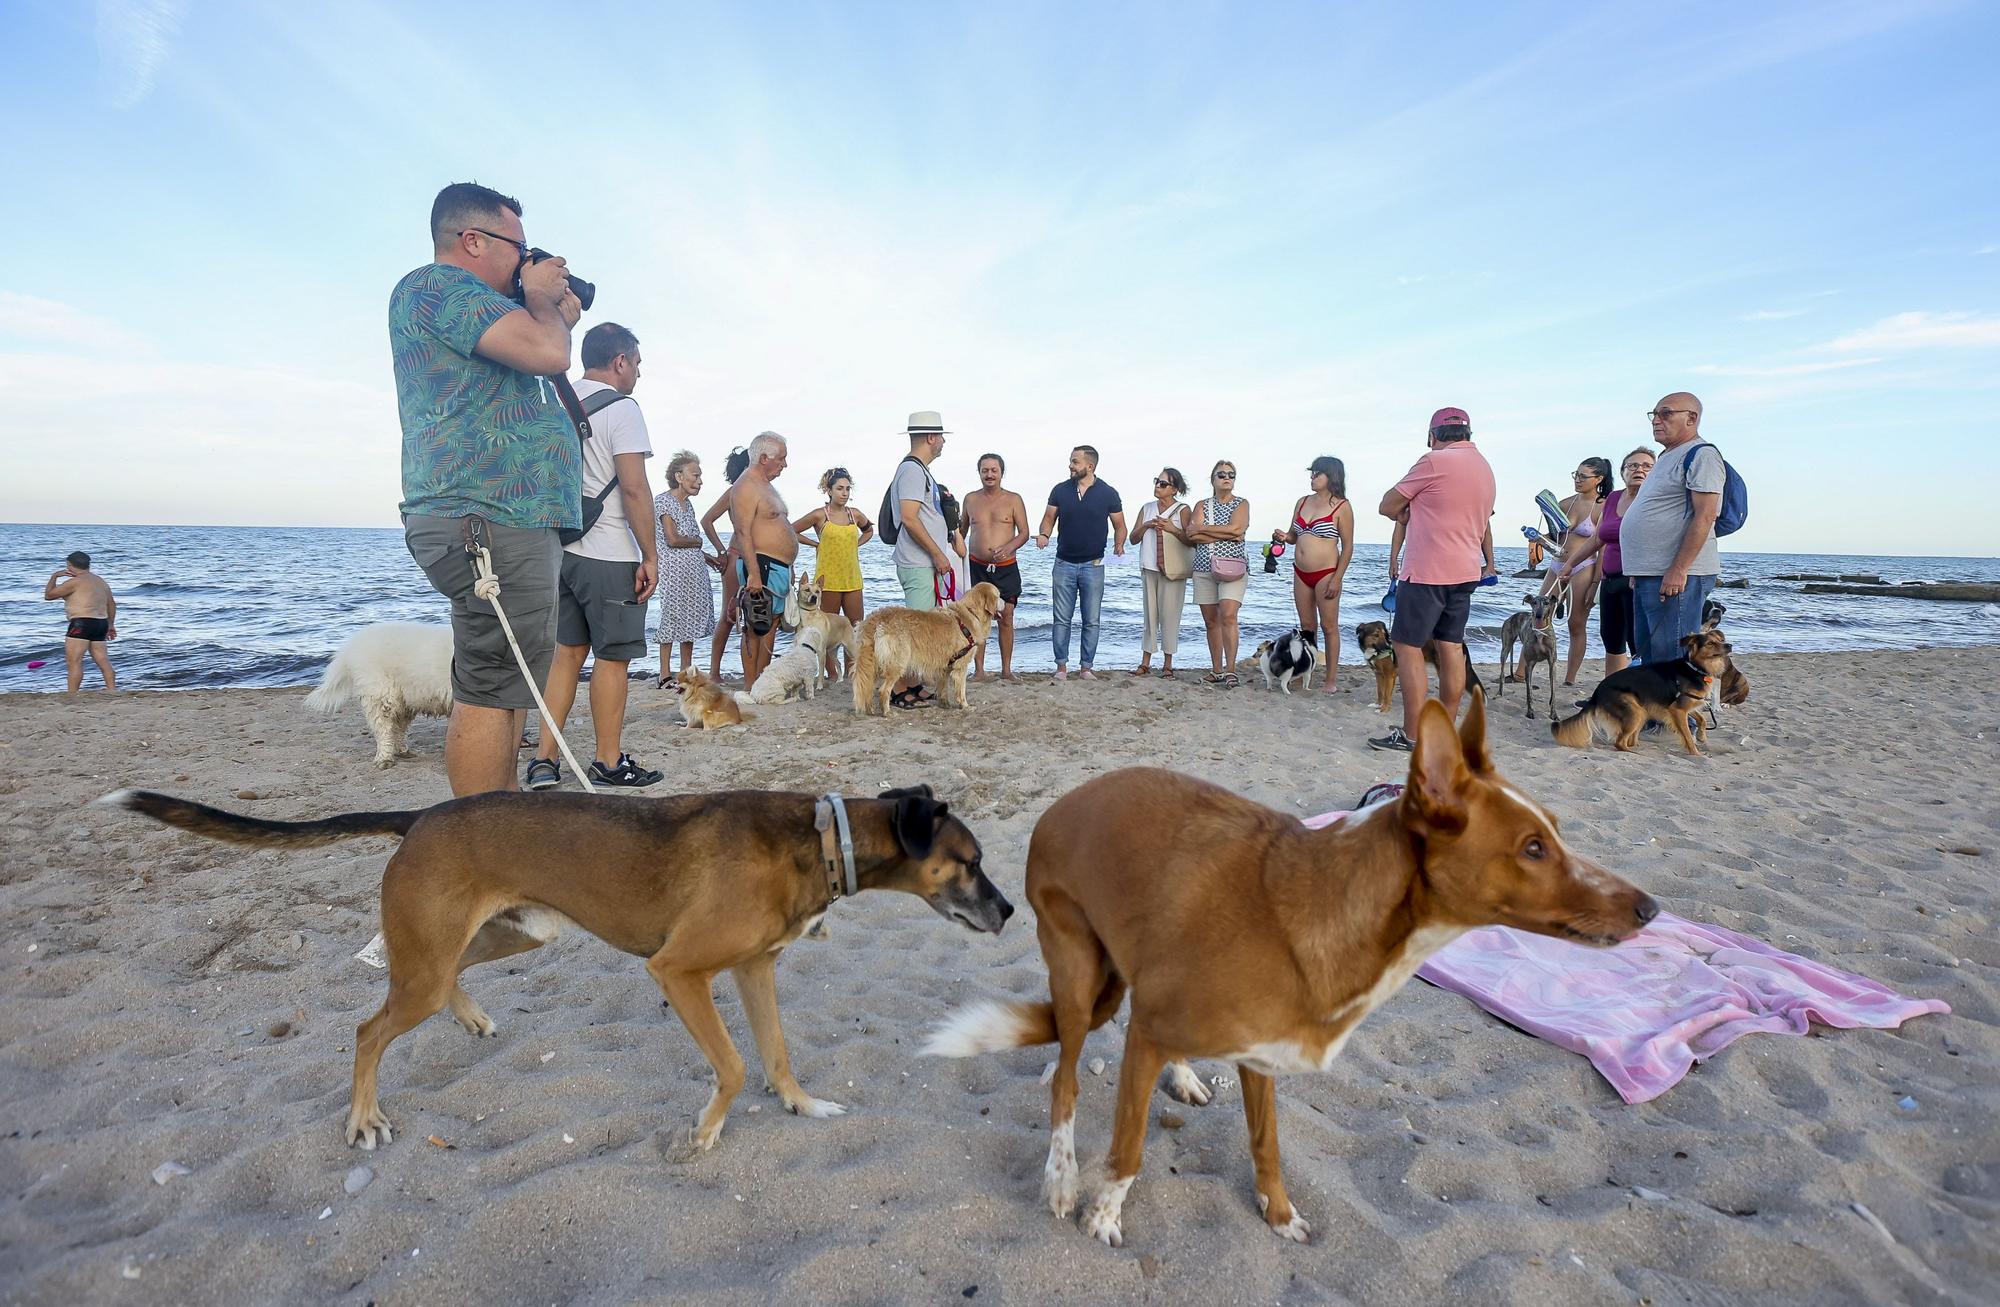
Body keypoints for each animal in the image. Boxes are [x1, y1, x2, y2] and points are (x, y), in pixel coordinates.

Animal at [304, 623, 454, 767]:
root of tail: (351, 647)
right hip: (381, 696)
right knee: (383, 730)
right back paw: (385, 759)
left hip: (403, 701)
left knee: (398, 727)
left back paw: (403, 751)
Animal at [852, 587, 1008, 715]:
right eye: (998, 595)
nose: (1006, 603)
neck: (971, 613)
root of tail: (875, 618)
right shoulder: (961, 667)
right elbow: (961, 690)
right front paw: (965, 706)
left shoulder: (945, 666)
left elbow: (943, 687)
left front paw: (945, 704)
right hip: (897, 662)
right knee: (883, 690)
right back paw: (887, 712)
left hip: (872, 665)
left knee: (867, 688)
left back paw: (870, 709)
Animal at [928, 687, 1648, 1247]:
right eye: (1532, 849)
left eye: (1555, 831)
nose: (1651, 907)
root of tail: (1063, 802)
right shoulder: (1158, 1044)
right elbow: (1127, 1148)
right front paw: (1103, 1217)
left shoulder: (1260, 1057)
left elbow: (1267, 1143)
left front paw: (1277, 1213)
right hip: (1077, 975)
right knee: (1067, 1080)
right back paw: (1060, 1177)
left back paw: (1181, 1075)